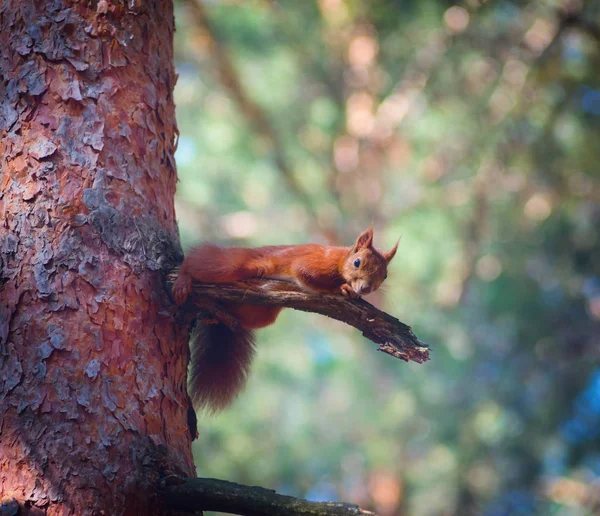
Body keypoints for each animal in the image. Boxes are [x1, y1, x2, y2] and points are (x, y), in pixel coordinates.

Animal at [173, 226, 398, 412]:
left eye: (385, 275)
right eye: (357, 262)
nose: (366, 288)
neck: (340, 258)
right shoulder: (316, 264)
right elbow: (306, 274)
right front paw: (341, 288)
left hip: (261, 312)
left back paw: (217, 314)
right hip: (241, 265)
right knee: (201, 263)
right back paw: (184, 278)